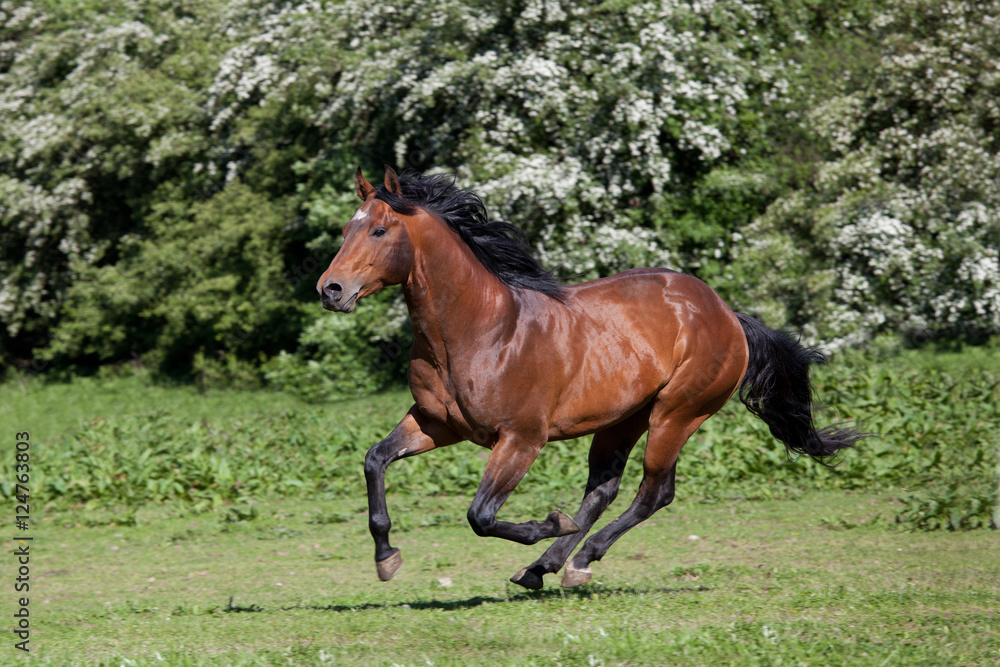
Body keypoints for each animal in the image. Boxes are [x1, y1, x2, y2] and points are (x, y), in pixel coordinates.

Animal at [316, 166, 864, 588]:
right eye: (345, 229)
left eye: (379, 231)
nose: (331, 289)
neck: (480, 330)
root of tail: (727, 314)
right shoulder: (436, 424)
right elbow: (375, 460)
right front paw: (387, 559)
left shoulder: (521, 439)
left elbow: (481, 516)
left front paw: (550, 522)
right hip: (623, 419)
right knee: (603, 490)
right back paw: (542, 568)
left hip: (676, 414)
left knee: (653, 493)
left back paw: (577, 560)